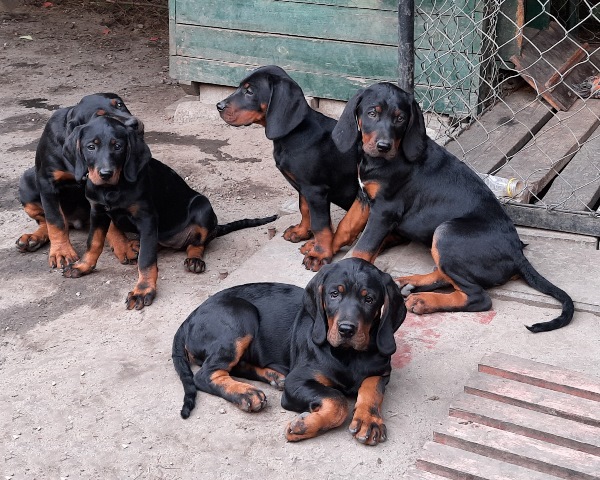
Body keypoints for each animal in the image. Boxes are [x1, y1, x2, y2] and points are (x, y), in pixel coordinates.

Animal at [16, 92, 139, 268]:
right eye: (98, 117)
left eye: (120, 105)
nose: (134, 124)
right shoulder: (47, 184)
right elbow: (55, 220)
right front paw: (62, 252)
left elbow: (111, 222)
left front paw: (123, 246)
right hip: (26, 183)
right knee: (47, 221)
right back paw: (32, 238)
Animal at [61, 116, 276, 312]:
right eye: (91, 147)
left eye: (118, 146)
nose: (105, 174)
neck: (112, 189)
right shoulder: (97, 212)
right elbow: (93, 243)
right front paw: (83, 266)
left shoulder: (147, 218)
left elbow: (146, 260)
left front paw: (143, 290)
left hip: (203, 207)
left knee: (197, 242)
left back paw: (195, 260)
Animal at [173, 258, 408, 446]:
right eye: (334, 294)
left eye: (369, 299)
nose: (346, 330)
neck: (349, 355)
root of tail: (190, 317)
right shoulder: (298, 381)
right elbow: (337, 400)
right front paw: (304, 426)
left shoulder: (381, 372)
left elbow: (372, 389)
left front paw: (369, 421)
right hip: (241, 316)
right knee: (206, 374)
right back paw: (246, 393)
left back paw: (273, 376)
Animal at [217, 65, 364, 272]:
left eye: (250, 91)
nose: (218, 106)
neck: (294, 134)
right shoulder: (303, 187)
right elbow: (304, 209)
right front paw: (301, 232)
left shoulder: (315, 189)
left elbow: (321, 225)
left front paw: (319, 254)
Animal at [330, 81, 576, 334]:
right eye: (372, 113)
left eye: (400, 118)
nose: (383, 146)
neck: (379, 161)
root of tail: (517, 254)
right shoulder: (364, 197)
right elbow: (346, 226)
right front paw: (325, 253)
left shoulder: (385, 210)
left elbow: (363, 249)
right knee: (447, 276)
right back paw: (410, 283)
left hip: (446, 232)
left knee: (478, 297)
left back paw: (425, 300)